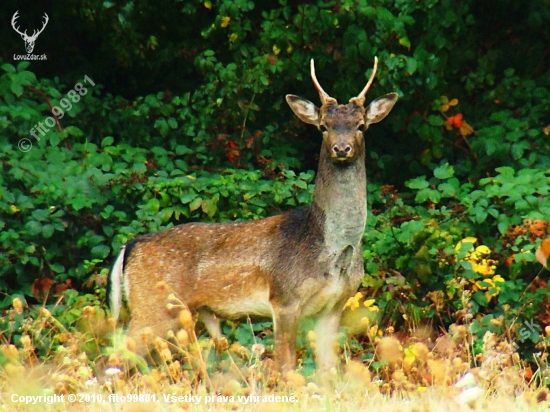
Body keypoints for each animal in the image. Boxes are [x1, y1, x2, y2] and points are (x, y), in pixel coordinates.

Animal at [110, 58, 398, 374]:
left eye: (361, 125)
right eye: (323, 126)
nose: (342, 148)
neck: (334, 251)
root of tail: (129, 246)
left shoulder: (334, 306)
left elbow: (328, 371)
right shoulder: (284, 299)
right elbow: (285, 367)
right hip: (153, 305)